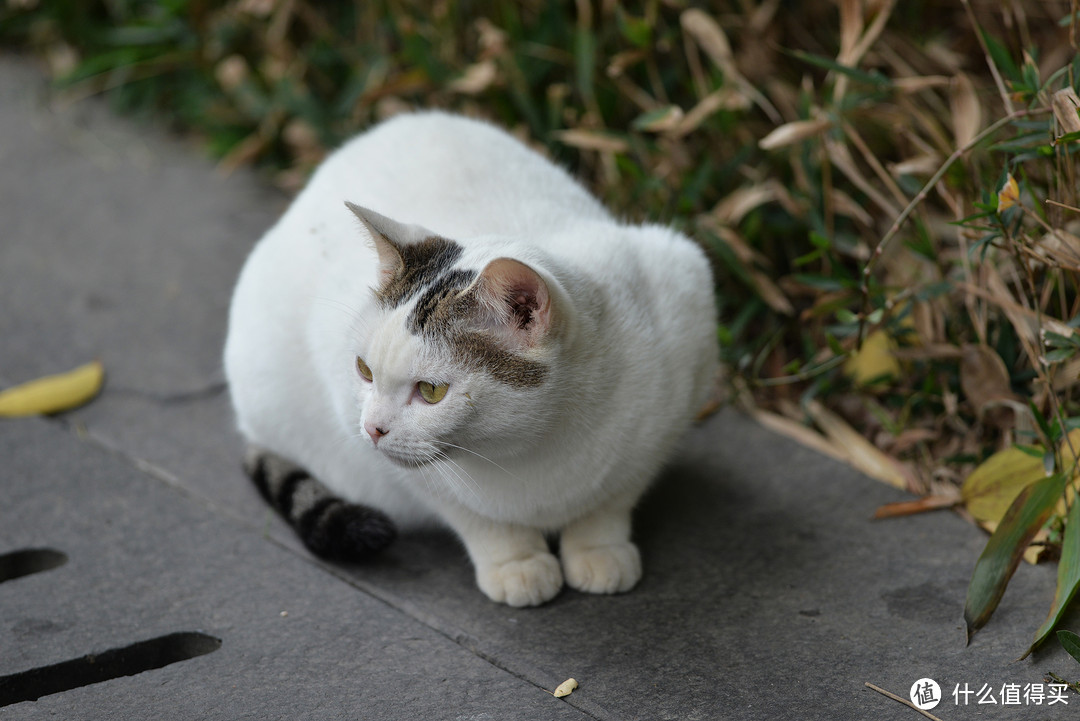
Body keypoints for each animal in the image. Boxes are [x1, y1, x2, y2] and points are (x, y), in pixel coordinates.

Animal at [222, 111, 717, 608]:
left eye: (431, 391)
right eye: (363, 371)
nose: (373, 429)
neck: (537, 445)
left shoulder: (681, 333)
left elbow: (614, 496)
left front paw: (599, 548)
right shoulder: (365, 426)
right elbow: (474, 516)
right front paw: (516, 563)